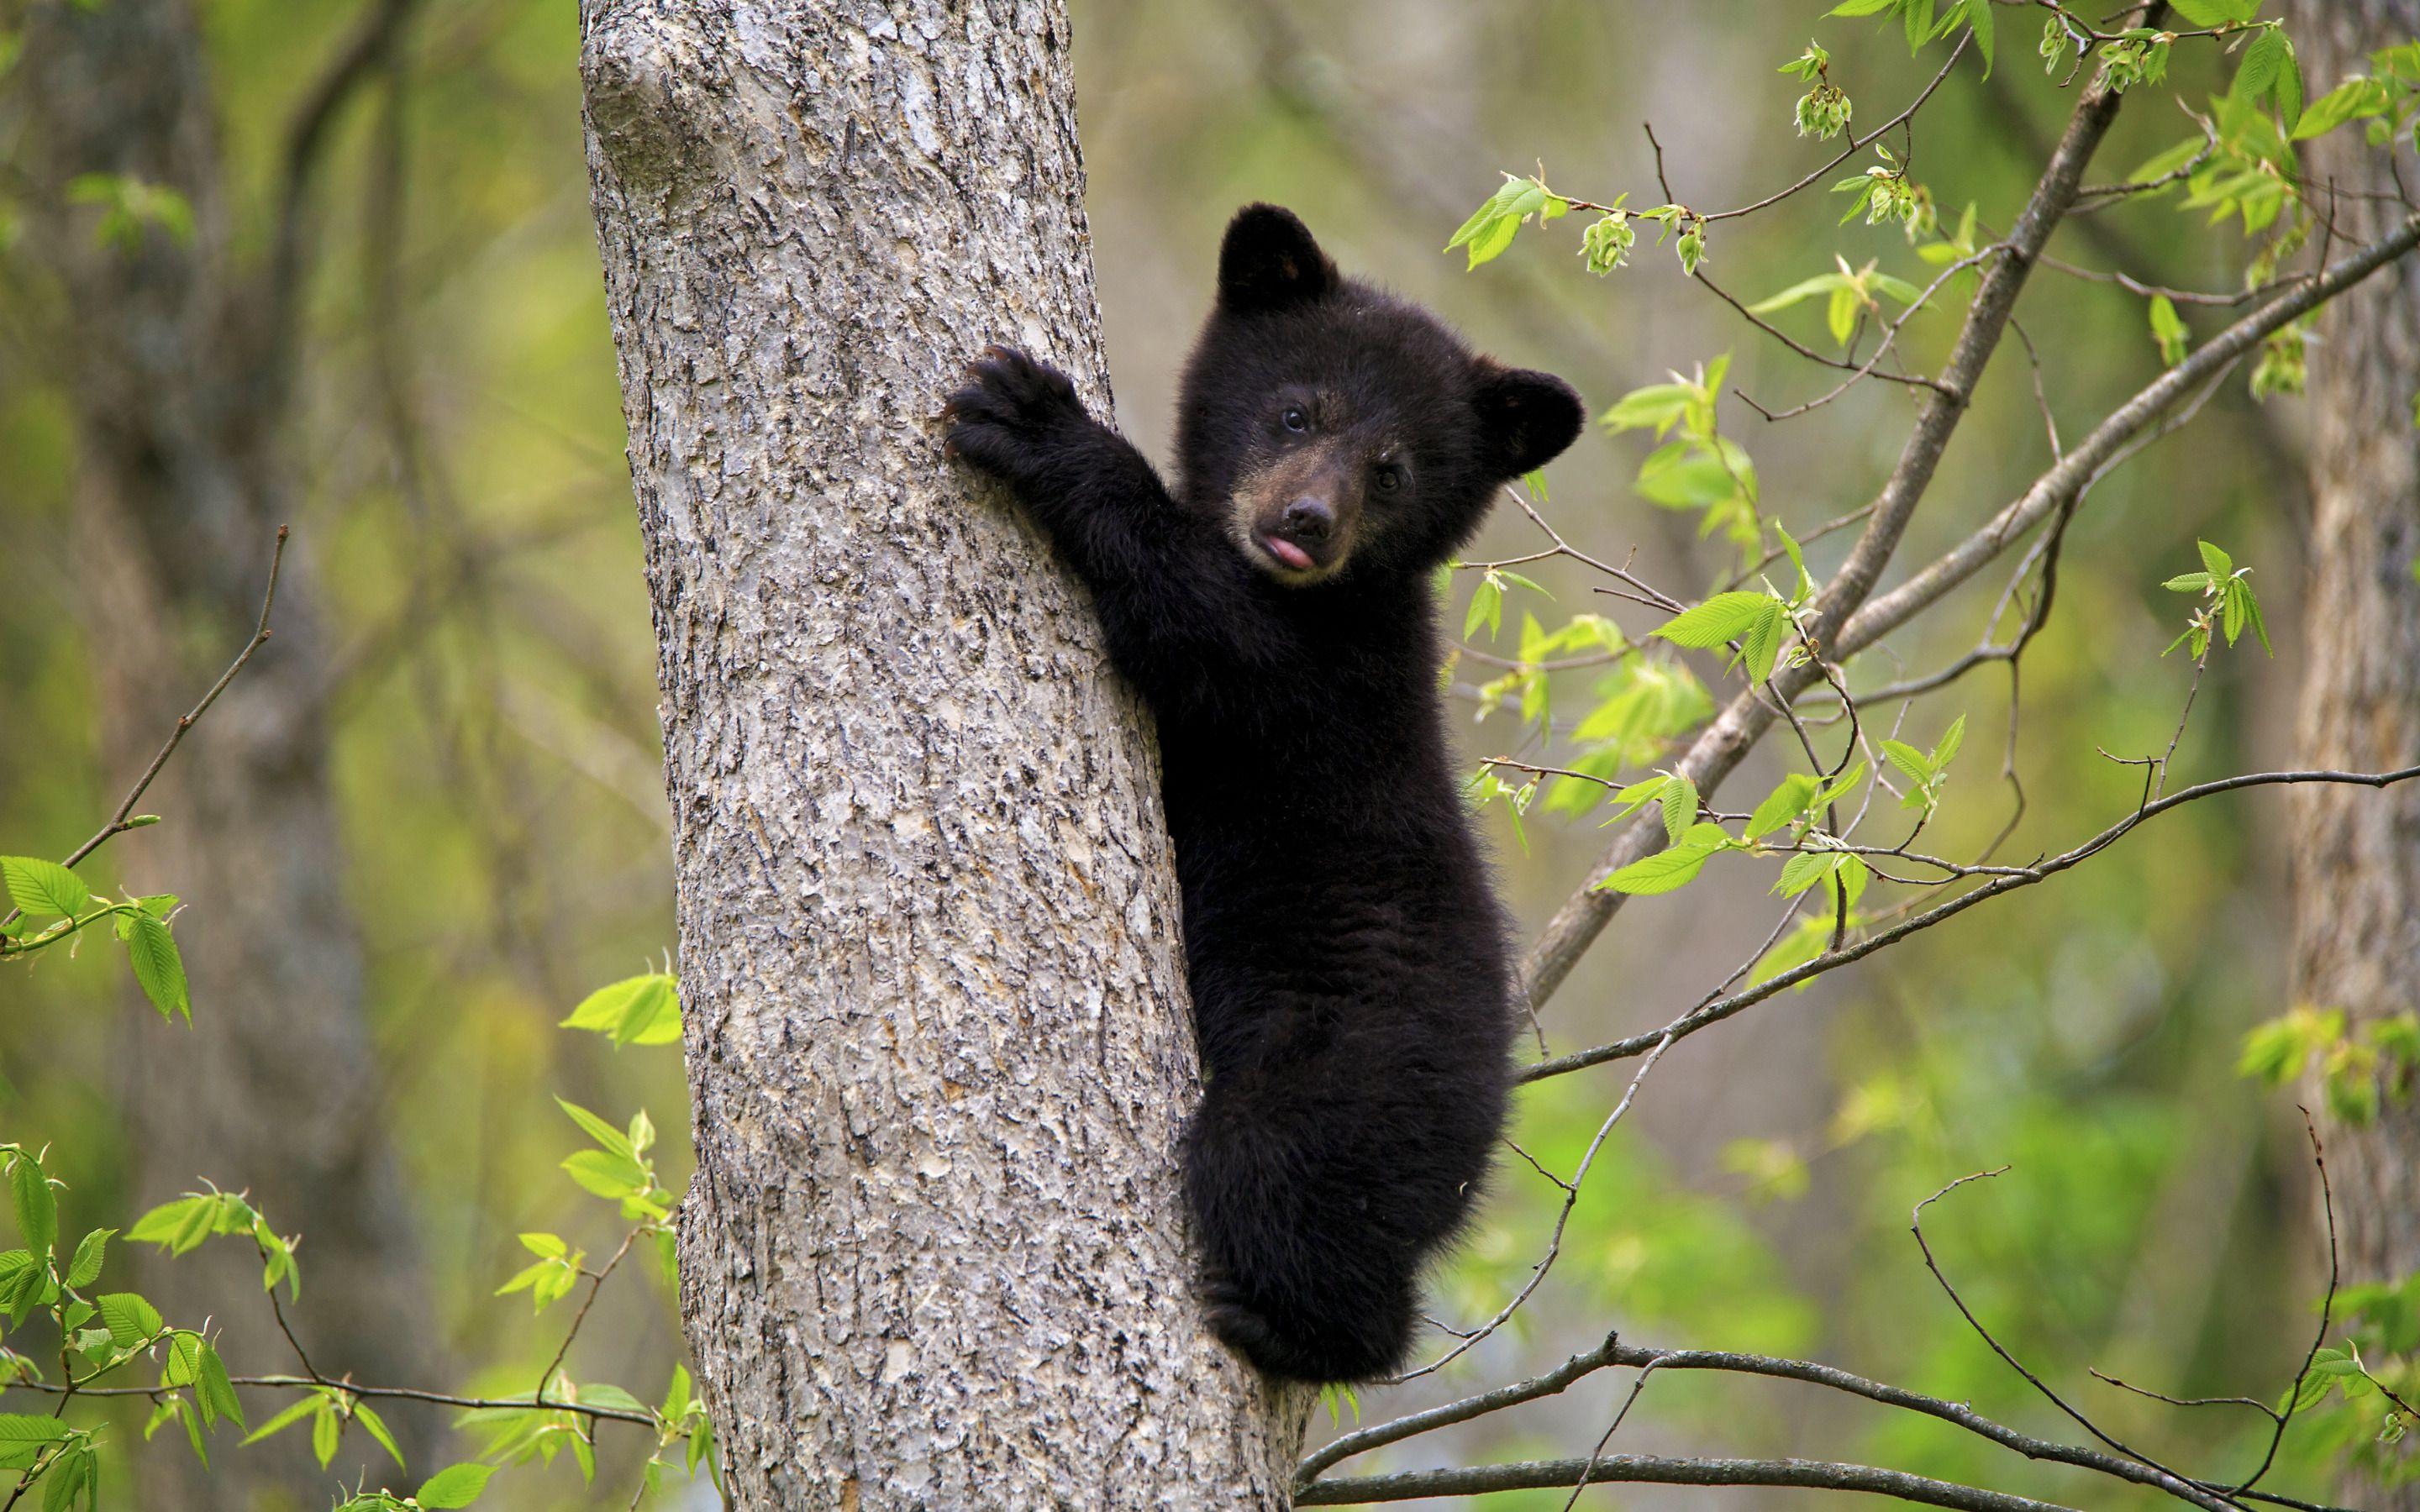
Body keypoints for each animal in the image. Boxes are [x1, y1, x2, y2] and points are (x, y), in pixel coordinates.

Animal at [943, 203, 1583, 1383]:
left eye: (1394, 469)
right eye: (1294, 411)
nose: (1309, 520)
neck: (1330, 597)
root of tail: (1478, 1141)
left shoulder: (1319, 684)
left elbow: (1196, 616)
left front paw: (1037, 421)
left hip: (1341, 1079)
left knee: (1274, 1178)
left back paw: (1291, 1328)